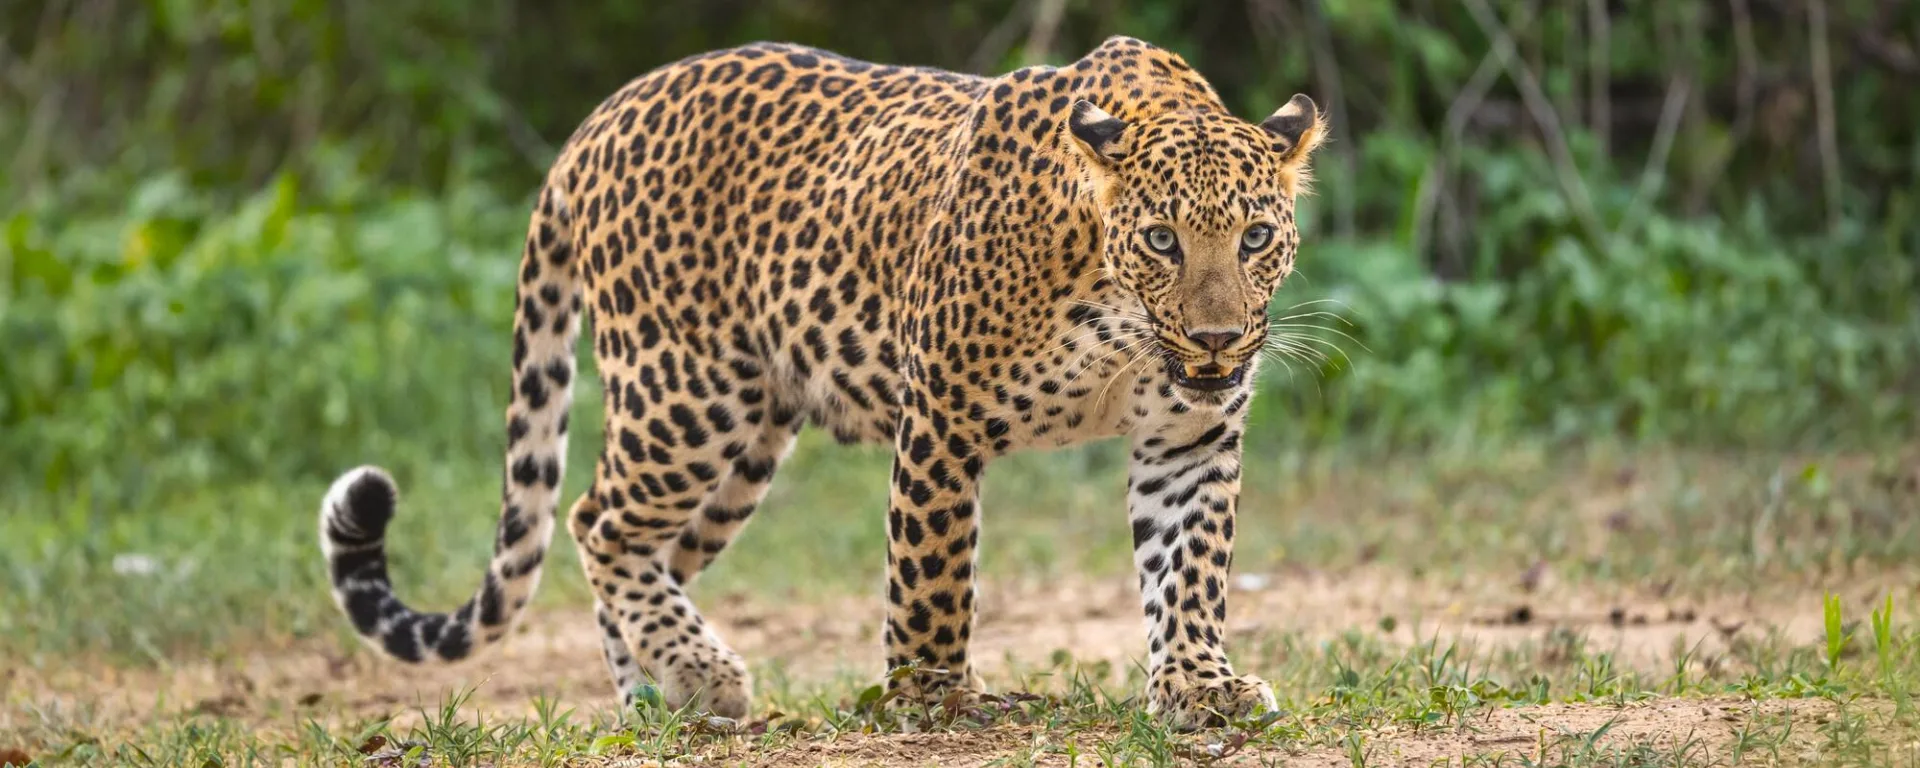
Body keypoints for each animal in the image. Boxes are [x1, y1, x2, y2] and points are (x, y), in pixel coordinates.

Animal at [316, 34, 1325, 730]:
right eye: (1160, 239)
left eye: (1255, 238)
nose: (1217, 338)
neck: (1119, 320)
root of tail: (595, 123)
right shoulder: (942, 418)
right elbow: (932, 574)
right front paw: (931, 699)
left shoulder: (1190, 437)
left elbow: (1191, 568)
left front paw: (1200, 686)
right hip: (684, 395)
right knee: (597, 521)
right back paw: (702, 676)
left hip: (747, 446)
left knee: (647, 551)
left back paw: (658, 695)